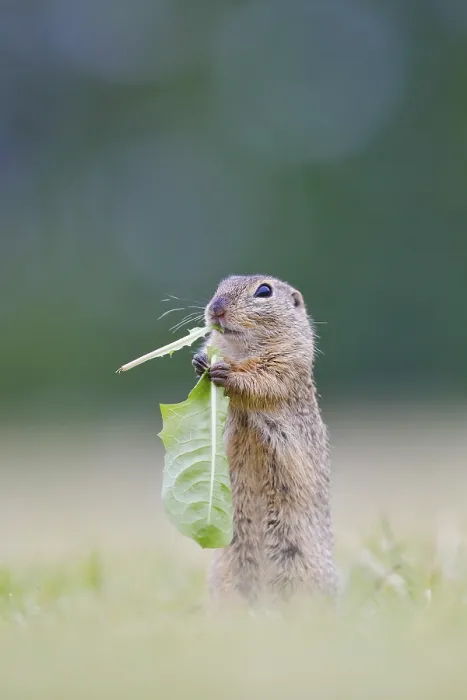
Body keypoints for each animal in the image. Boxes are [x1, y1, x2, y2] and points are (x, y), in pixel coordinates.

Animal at [192, 275, 337, 606]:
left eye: (264, 291)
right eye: (219, 287)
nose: (216, 308)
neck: (240, 350)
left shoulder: (285, 363)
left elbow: (263, 380)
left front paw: (227, 373)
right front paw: (200, 360)